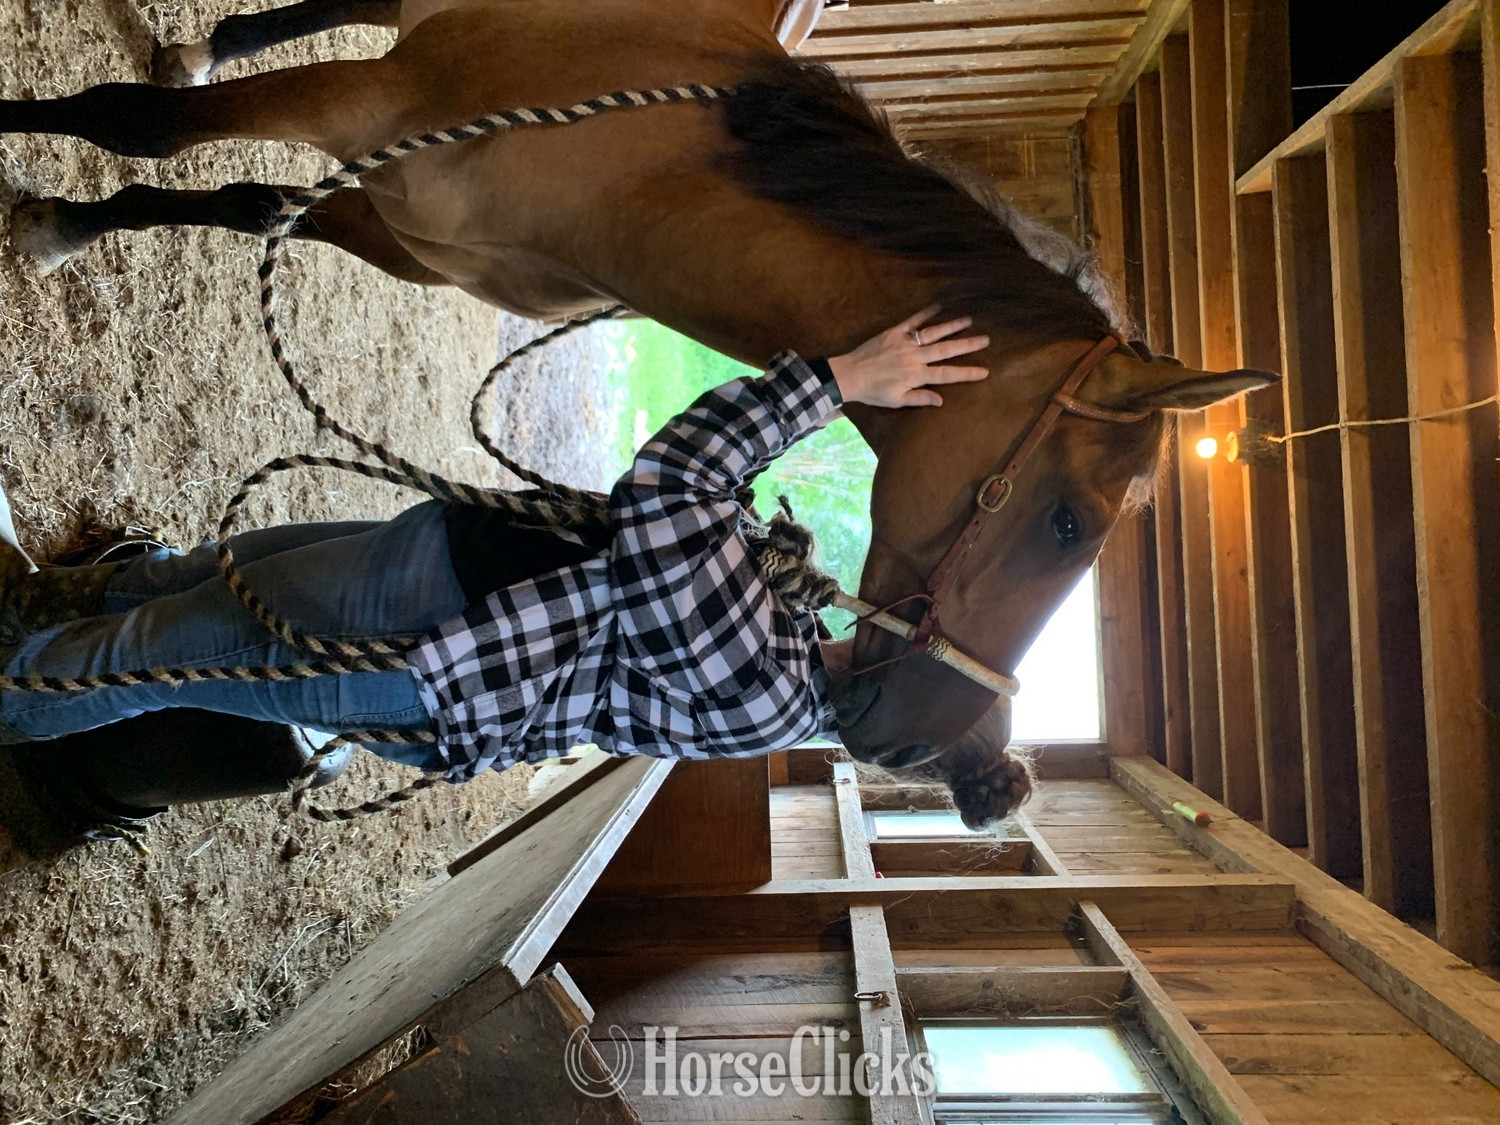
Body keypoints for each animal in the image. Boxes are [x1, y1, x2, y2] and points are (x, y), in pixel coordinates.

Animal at [0, 0, 1276, 782]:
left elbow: (246, 203)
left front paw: (61, 224)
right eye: (1068, 524)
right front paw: (48, 212)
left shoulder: (409, 235)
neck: (635, 167)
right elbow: (137, 125)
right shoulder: (363, 114)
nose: (932, 745)